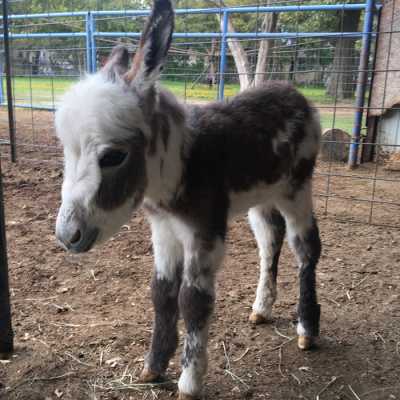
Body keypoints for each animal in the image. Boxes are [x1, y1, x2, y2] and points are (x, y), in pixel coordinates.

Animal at [54, 0, 322, 396]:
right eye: (66, 151)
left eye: (114, 156)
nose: (67, 236)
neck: (179, 166)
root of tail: (294, 93)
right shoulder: (163, 230)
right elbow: (162, 292)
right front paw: (153, 367)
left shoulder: (204, 233)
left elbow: (193, 301)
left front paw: (189, 382)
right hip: (261, 196)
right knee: (269, 241)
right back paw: (262, 308)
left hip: (296, 189)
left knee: (306, 249)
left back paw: (307, 330)